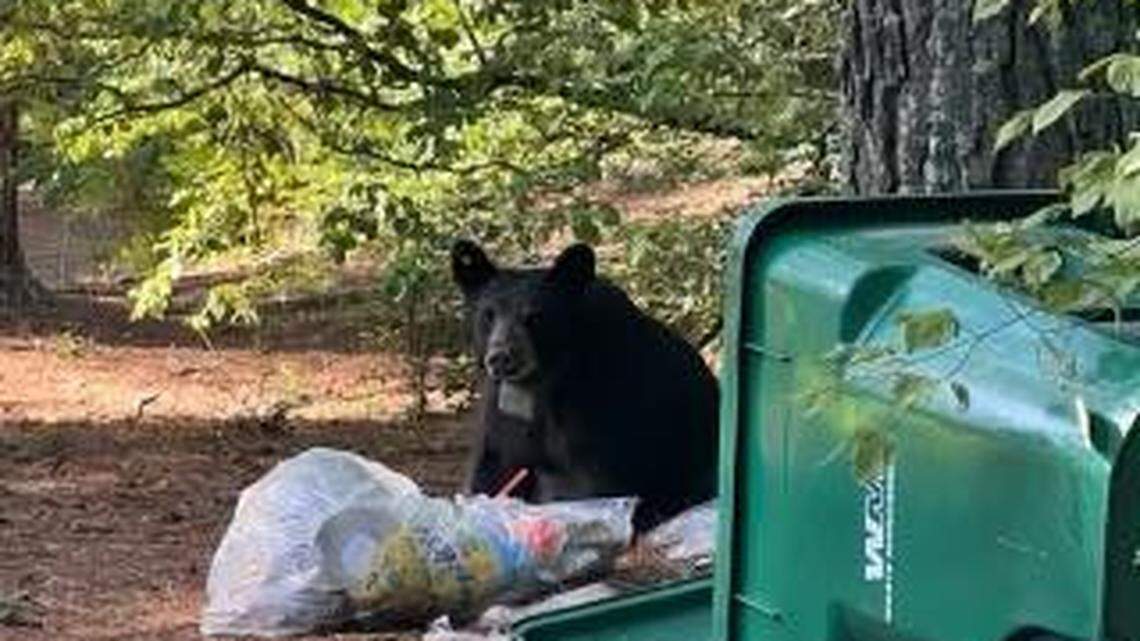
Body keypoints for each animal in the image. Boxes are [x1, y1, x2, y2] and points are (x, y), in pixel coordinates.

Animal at [451, 239, 718, 532]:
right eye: (488, 314)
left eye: (534, 316)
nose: (501, 357)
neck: (539, 381)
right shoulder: (499, 409)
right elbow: (493, 467)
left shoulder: (601, 404)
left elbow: (591, 485)